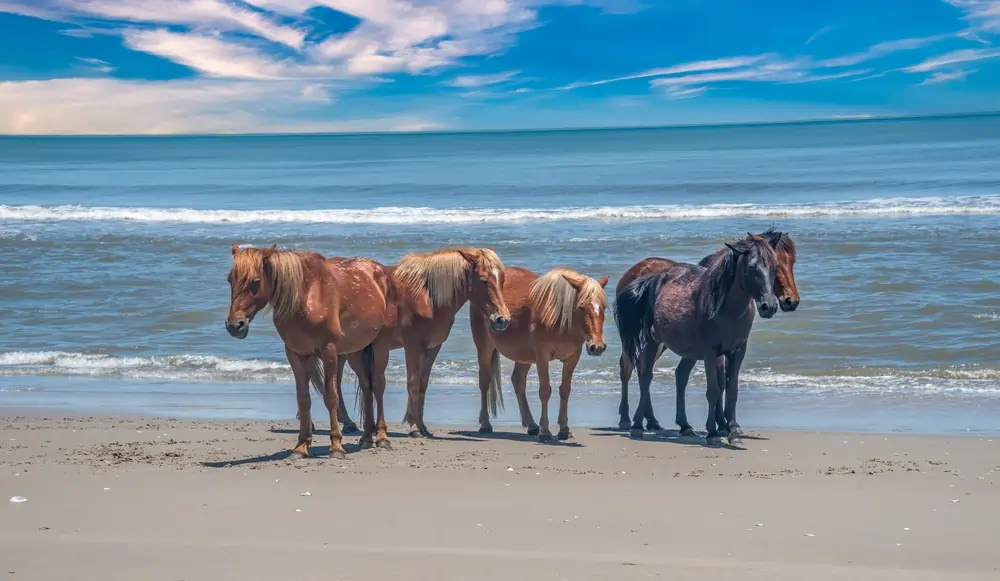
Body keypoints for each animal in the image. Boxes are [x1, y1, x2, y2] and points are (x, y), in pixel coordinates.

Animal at [228, 242, 398, 456]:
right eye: (229, 280)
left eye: (255, 282)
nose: (235, 326)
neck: (306, 296)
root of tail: (380, 271)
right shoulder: (296, 354)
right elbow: (303, 398)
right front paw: (301, 446)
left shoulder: (329, 352)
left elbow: (331, 396)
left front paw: (336, 446)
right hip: (355, 351)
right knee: (367, 385)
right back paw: (366, 438)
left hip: (380, 345)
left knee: (378, 384)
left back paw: (382, 437)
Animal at [326, 247, 516, 438]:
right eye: (483, 280)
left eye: (502, 278)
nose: (502, 319)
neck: (426, 297)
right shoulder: (412, 346)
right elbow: (413, 383)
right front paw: (414, 427)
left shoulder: (432, 348)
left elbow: (423, 383)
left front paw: (422, 426)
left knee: (337, 381)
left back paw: (348, 423)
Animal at [472, 266, 612, 440]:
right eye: (581, 307)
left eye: (604, 307)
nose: (597, 347)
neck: (559, 318)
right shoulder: (542, 357)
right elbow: (545, 391)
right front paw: (545, 431)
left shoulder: (572, 358)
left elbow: (565, 390)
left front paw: (564, 429)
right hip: (484, 347)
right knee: (485, 381)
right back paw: (485, 424)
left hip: (524, 356)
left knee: (518, 382)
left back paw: (532, 425)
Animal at [612, 229, 800, 438]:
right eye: (752, 268)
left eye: (778, 265)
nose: (786, 302)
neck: (729, 310)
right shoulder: (711, 352)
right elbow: (715, 388)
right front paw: (716, 429)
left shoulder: (736, 350)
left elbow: (730, 388)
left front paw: (731, 427)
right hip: (652, 341)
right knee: (638, 372)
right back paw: (632, 422)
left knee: (665, 373)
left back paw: (670, 423)